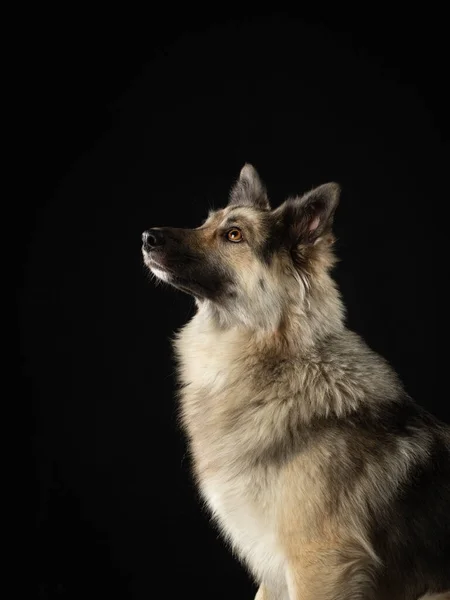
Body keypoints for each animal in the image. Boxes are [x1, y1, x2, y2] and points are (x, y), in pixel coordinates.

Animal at [142, 164, 450, 600]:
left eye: (233, 235)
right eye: (206, 222)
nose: (147, 237)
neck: (279, 362)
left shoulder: (318, 561)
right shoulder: (272, 569)